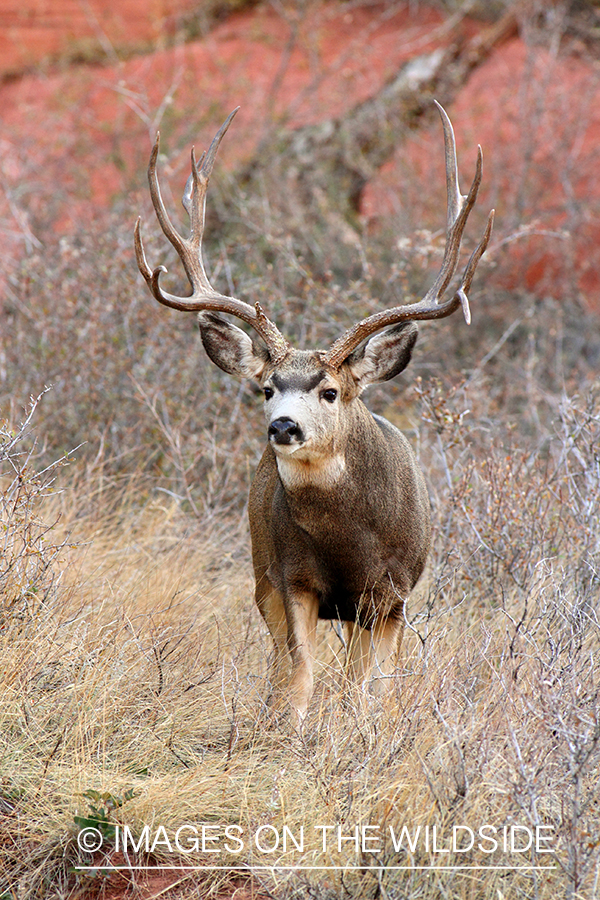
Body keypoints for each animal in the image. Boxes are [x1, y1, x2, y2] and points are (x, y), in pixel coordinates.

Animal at [135, 102, 494, 725]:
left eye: (329, 391)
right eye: (266, 389)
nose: (283, 426)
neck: (348, 542)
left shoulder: (391, 594)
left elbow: (369, 688)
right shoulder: (291, 577)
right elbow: (301, 675)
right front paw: (289, 733)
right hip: (262, 574)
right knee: (282, 660)